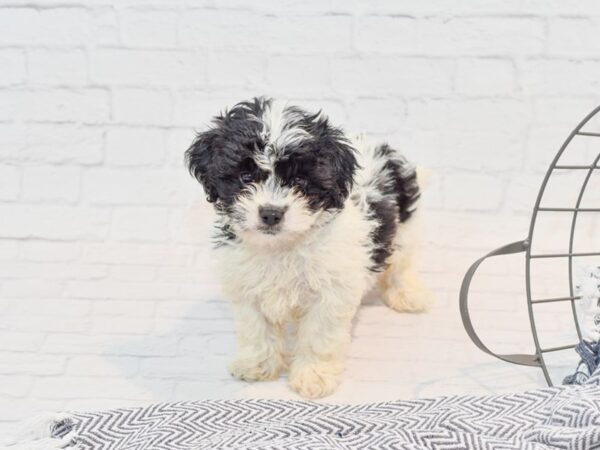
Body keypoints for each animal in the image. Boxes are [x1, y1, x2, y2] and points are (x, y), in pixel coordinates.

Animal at [185, 96, 428, 400]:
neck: (282, 245)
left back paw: (407, 293)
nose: (271, 213)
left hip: (405, 225)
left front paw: (313, 375)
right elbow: (256, 328)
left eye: (300, 181)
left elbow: (318, 336)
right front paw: (257, 364)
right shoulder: (246, 286)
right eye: (245, 176)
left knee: (402, 262)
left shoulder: (330, 292)